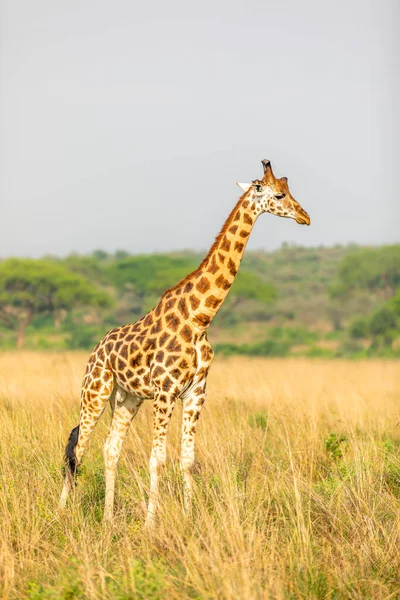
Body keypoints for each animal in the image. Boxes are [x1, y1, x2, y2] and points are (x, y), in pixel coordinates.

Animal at [58, 158, 310, 524]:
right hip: (95, 391)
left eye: (290, 191)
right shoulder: (165, 392)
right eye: (279, 194)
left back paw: (107, 519)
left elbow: (187, 460)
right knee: (78, 446)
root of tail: (97, 348)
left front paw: (189, 518)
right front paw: (151, 523)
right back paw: (63, 510)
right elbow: (157, 458)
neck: (200, 318)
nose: (305, 216)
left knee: (110, 448)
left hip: (127, 398)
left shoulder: (195, 392)